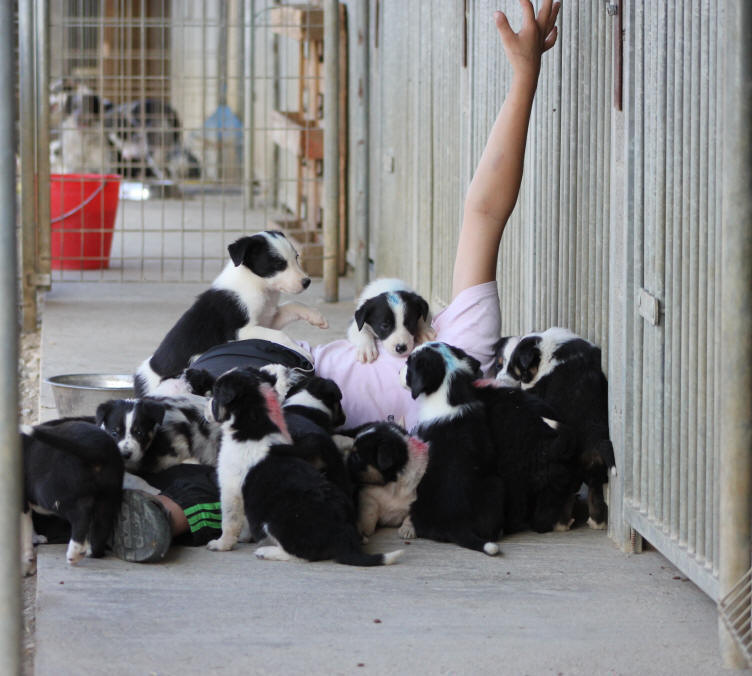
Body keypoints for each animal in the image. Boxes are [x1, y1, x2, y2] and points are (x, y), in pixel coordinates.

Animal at [20, 422, 123, 576]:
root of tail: (96, 449)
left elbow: (24, 530)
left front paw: (25, 564)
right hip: (109, 495)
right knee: (102, 524)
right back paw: (91, 551)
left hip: (51, 494)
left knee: (81, 516)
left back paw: (74, 553)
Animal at [134, 231, 326, 396]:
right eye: (279, 264)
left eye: (296, 257)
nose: (306, 282)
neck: (256, 283)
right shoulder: (241, 331)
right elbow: (280, 335)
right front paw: (302, 352)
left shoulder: (267, 320)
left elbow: (292, 305)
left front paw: (316, 316)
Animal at [206, 368, 402, 568]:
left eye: (215, 394)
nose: (206, 405)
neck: (257, 425)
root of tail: (343, 537)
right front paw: (245, 537)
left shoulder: (230, 489)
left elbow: (230, 522)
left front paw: (221, 544)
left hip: (276, 521)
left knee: (302, 555)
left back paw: (266, 551)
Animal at [506, 328, 616, 528]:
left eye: (521, 371)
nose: (522, 383)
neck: (545, 347)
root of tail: (595, 439)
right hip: (594, 469)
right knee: (594, 494)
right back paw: (596, 523)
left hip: (567, 469)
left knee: (565, 497)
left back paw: (560, 524)